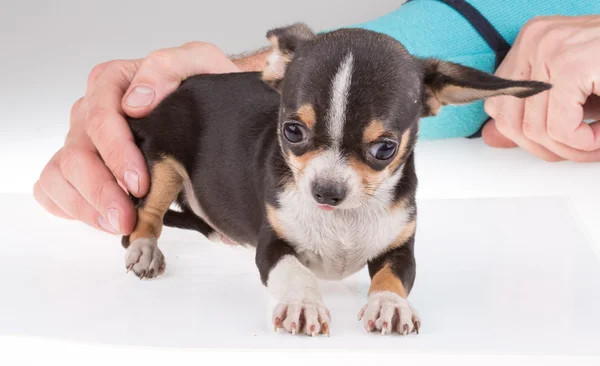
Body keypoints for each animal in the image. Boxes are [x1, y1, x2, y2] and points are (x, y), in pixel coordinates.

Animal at [119, 22, 552, 338]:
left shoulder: (400, 249)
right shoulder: (272, 245)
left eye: (385, 149)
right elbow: (295, 271)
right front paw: (303, 304)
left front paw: (390, 304)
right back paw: (144, 249)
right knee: (146, 215)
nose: (326, 192)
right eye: (292, 131)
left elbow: (394, 277)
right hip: (163, 163)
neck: (343, 220)